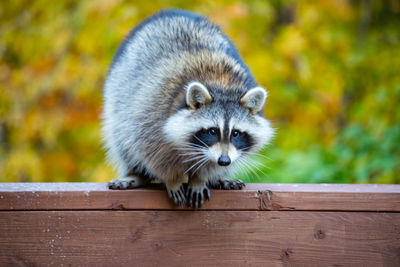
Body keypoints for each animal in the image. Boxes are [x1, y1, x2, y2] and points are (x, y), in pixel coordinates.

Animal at [101, 8, 274, 209]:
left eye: (236, 133)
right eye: (213, 131)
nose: (224, 161)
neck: (222, 85)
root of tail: (170, 13)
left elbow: (208, 165)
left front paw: (200, 178)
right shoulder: (151, 109)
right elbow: (151, 151)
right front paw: (172, 179)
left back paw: (218, 178)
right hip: (120, 100)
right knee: (123, 139)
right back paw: (136, 174)